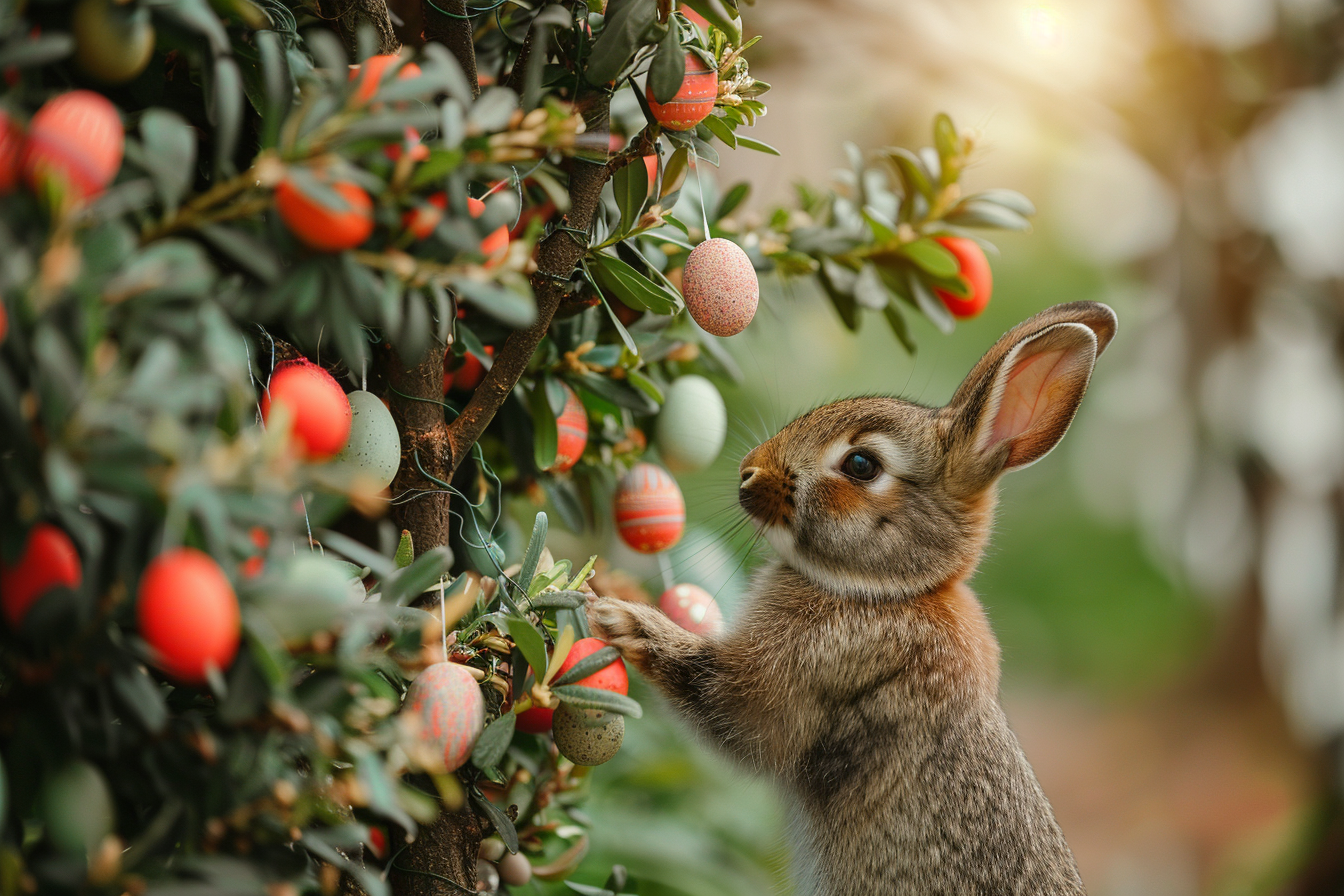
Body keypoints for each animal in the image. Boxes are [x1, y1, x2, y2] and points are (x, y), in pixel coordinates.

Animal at [587, 301, 1117, 896]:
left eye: (861, 465)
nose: (749, 473)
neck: (889, 591)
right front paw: (614, 586)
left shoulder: (808, 672)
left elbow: (722, 703)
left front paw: (619, 615)